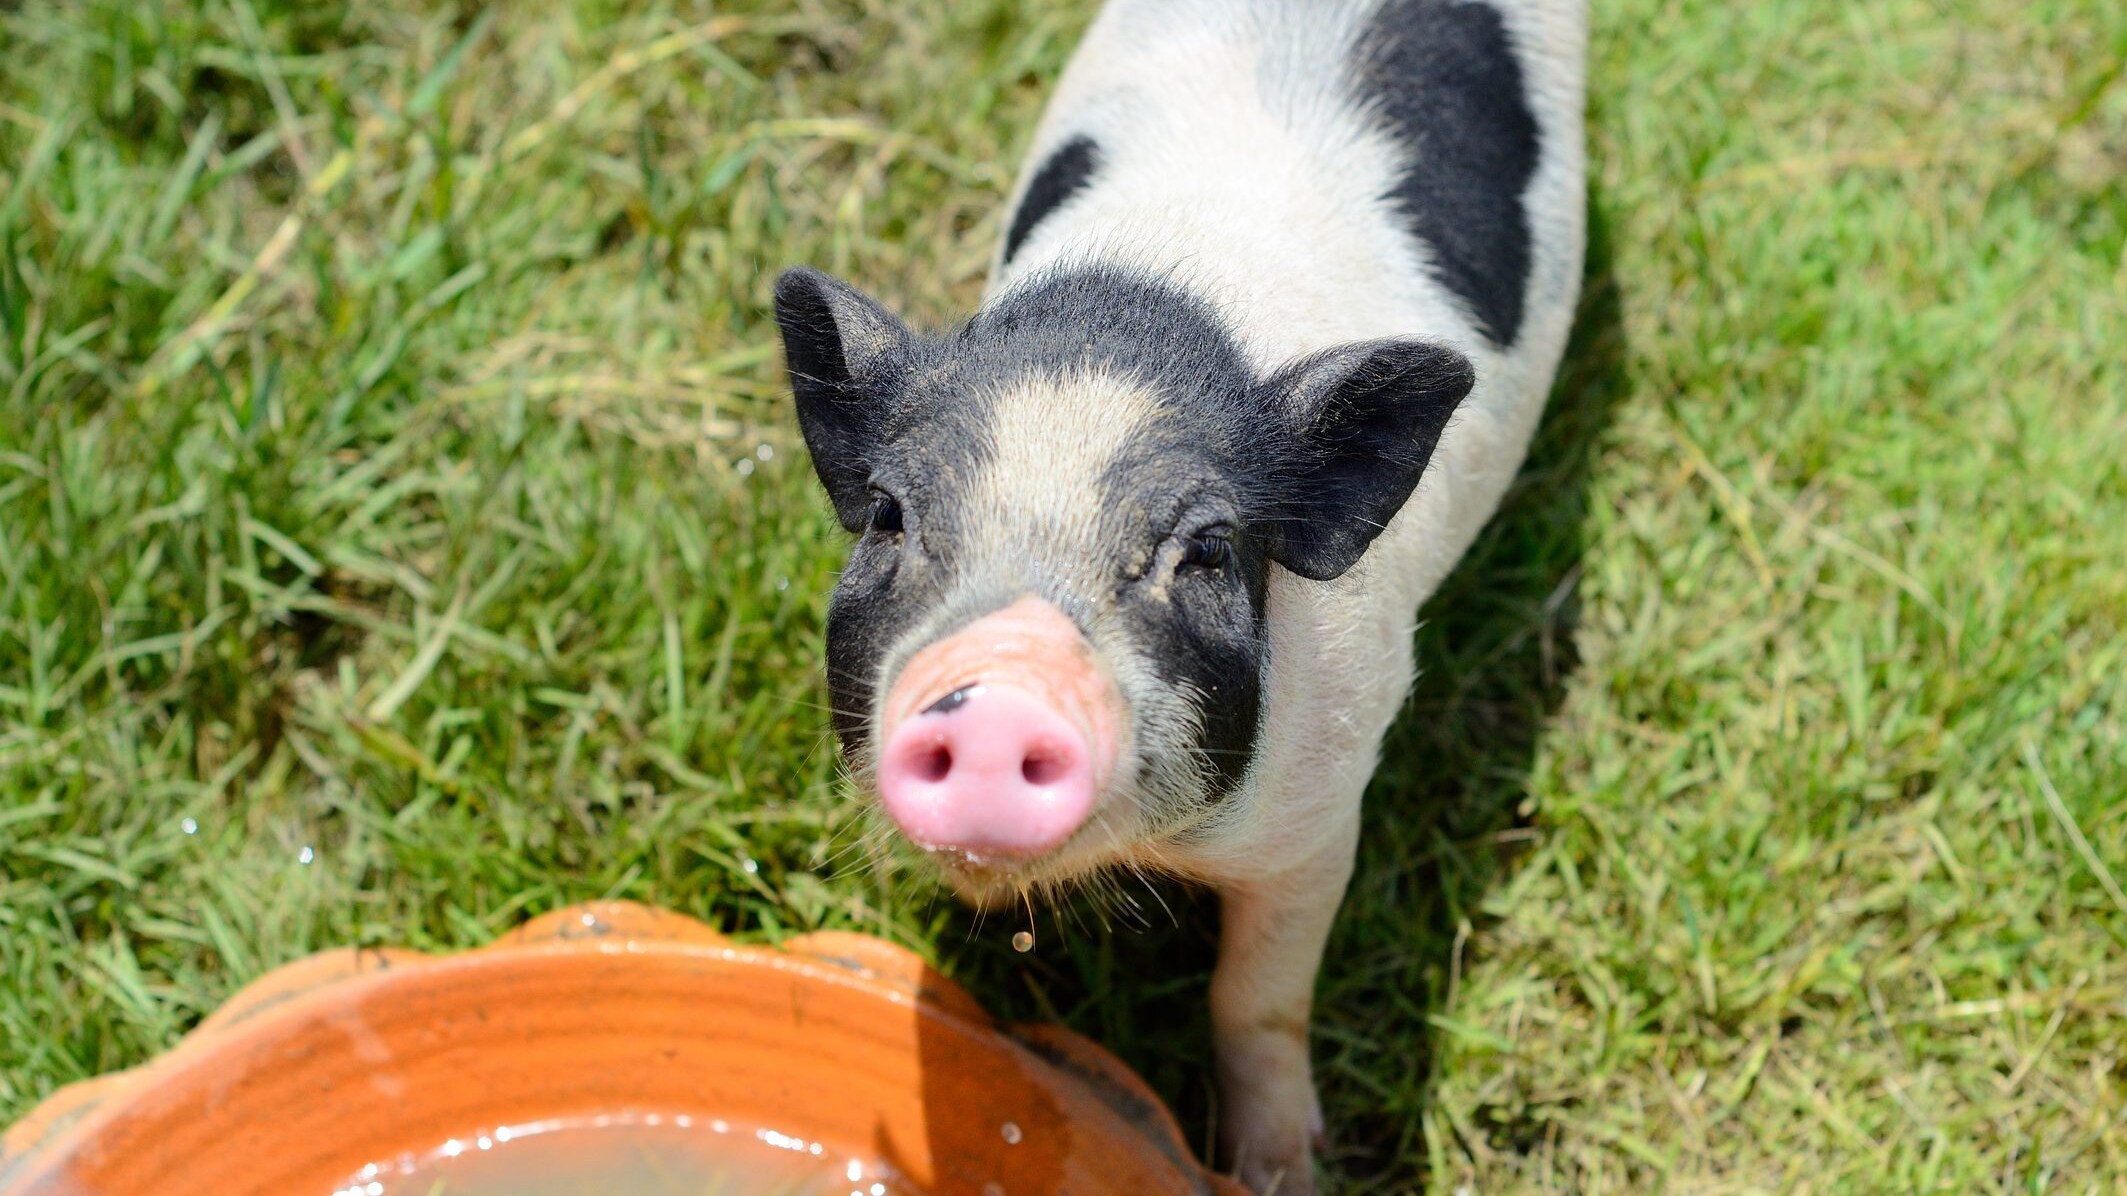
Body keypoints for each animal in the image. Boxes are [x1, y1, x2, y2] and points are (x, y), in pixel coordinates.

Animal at [773, 0, 1585, 1190]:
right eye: (887, 513)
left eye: (1202, 550)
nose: (998, 686)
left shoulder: (1320, 813)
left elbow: (1258, 997)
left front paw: (1279, 1170)